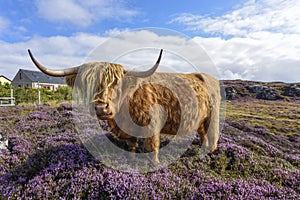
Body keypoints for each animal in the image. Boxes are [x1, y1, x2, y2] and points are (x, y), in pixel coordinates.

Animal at [27, 49, 220, 163]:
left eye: (116, 84)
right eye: (90, 84)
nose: (101, 109)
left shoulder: (152, 125)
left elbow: (152, 147)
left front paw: (154, 165)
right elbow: (132, 144)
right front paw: (132, 158)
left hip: (213, 115)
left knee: (212, 134)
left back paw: (209, 153)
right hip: (200, 118)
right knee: (203, 133)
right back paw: (202, 151)